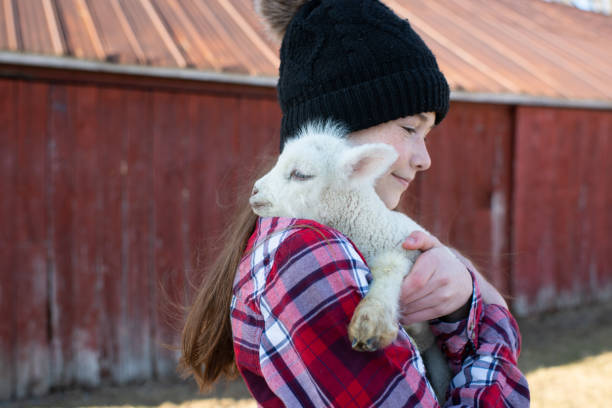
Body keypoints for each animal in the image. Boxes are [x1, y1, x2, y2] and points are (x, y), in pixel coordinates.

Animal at [249, 119, 454, 400]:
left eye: (301, 174)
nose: (255, 190)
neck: (371, 229)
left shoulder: (408, 252)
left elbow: (389, 268)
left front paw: (372, 321)